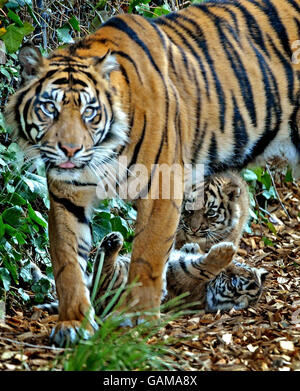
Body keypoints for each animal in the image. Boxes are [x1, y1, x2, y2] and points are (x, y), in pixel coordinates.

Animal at [4, 0, 300, 344]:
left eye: (90, 111)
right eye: (49, 108)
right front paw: (74, 323)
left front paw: (135, 319)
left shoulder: (163, 188)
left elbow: (148, 257)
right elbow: (67, 263)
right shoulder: (68, 196)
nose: (70, 150)